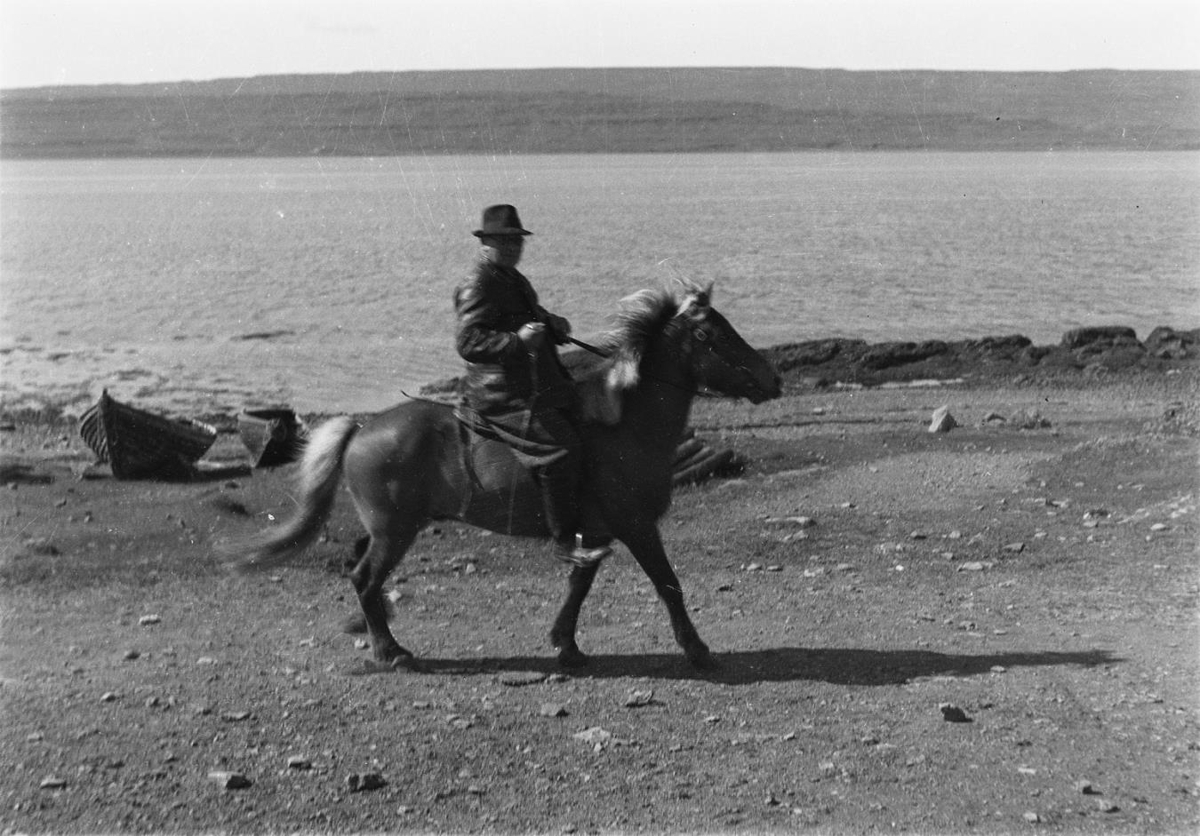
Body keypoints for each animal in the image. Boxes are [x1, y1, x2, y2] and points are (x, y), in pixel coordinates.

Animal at [227, 282, 781, 670]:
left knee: (360, 568)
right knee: (365, 576)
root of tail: (363, 428)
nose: (773, 379)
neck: (625, 424)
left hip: (389, 526)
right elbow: (668, 584)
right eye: (712, 335)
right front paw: (699, 650)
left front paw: (566, 645)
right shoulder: (636, 525)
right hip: (396, 529)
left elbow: (580, 583)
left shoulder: (598, 531)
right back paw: (391, 652)